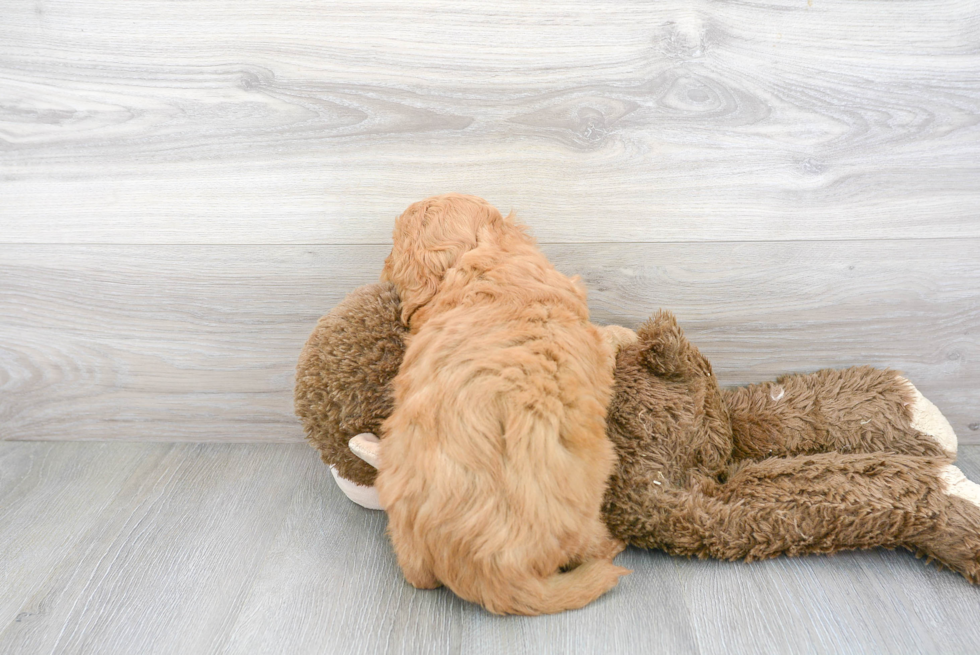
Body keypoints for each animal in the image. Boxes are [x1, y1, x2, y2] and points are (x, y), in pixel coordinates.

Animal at [376, 193, 628, 616]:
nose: (382, 267)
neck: (481, 258)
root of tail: (492, 573)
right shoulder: (589, 337)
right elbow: (606, 338)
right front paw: (626, 334)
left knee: (417, 576)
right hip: (587, 497)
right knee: (590, 546)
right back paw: (613, 543)